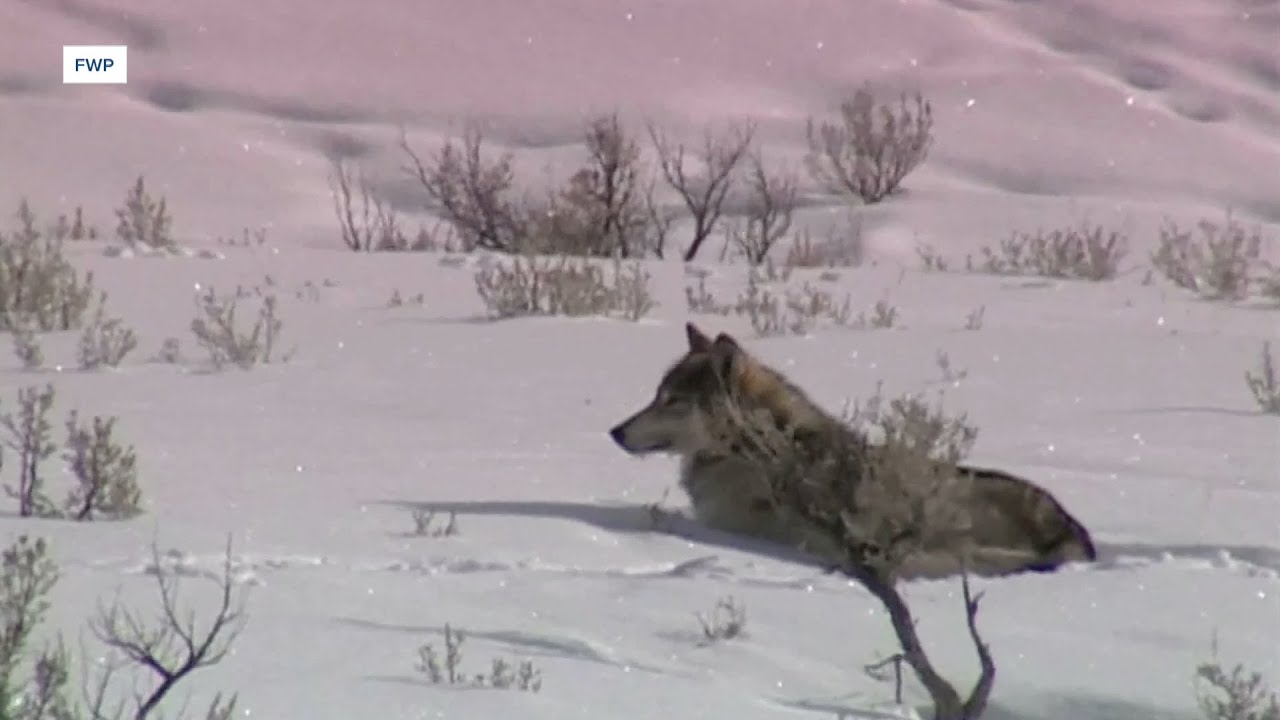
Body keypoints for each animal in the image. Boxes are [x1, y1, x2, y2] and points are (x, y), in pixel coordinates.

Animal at [608, 322, 1097, 580]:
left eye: (672, 401)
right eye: (656, 395)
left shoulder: (738, 525)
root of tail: (1069, 527)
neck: (750, 450)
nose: (614, 431)